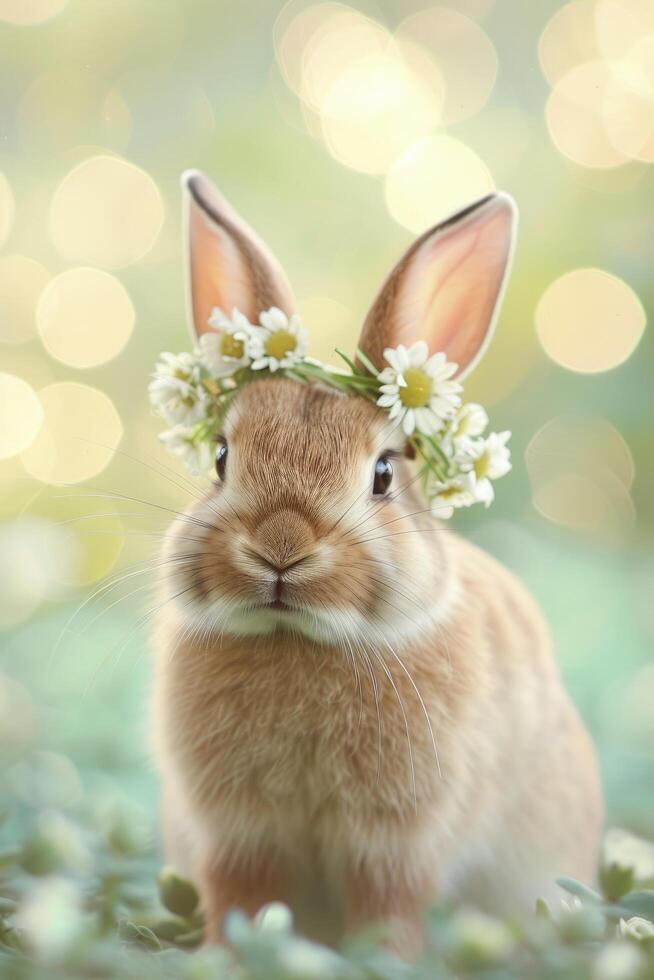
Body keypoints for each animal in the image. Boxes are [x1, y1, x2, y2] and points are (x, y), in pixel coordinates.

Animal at [152, 170, 604, 956]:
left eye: (384, 475)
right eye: (221, 459)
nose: (281, 547)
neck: (298, 640)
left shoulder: (396, 842)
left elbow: (389, 906)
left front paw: (381, 961)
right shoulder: (237, 836)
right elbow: (240, 896)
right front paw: (232, 956)